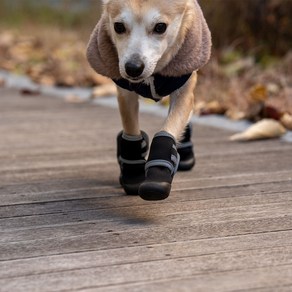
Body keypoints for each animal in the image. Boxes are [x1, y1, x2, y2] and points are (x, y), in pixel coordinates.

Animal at [86, 0, 210, 201]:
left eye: (161, 27)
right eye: (118, 26)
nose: (133, 67)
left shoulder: (183, 92)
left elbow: (169, 129)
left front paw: (158, 175)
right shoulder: (125, 93)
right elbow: (131, 129)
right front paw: (133, 174)